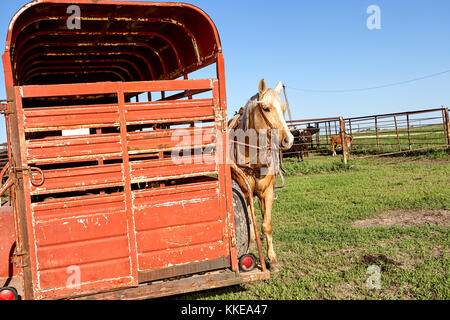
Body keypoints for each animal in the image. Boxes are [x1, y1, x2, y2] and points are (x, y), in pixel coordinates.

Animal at [229, 79, 296, 272]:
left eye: (283, 108)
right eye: (266, 108)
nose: (289, 140)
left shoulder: (268, 192)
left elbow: (267, 225)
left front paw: (272, 260)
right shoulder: (245, 192)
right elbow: (249, 219)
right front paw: (251, 244)